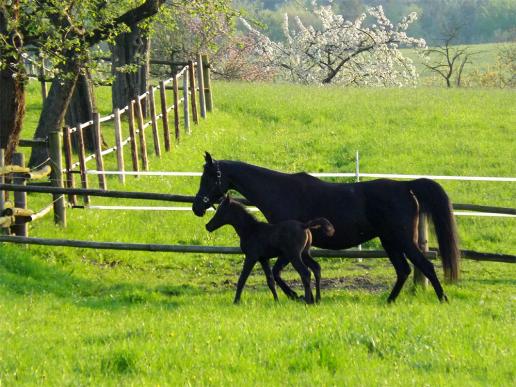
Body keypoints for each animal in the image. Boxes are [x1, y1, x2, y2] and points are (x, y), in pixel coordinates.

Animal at [206, 196, 334, 304]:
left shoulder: (251, 257)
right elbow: (270, 281)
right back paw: (317, 299)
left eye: (220, 211)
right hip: (304, 253)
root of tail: (304, 225)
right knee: (316, 268)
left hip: (294, 255)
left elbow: (242, 279)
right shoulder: (263, 259)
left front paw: (236, 301)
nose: (208, 226)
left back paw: (308, 300)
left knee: (305, 272)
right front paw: (277, 301)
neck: (251, 230)